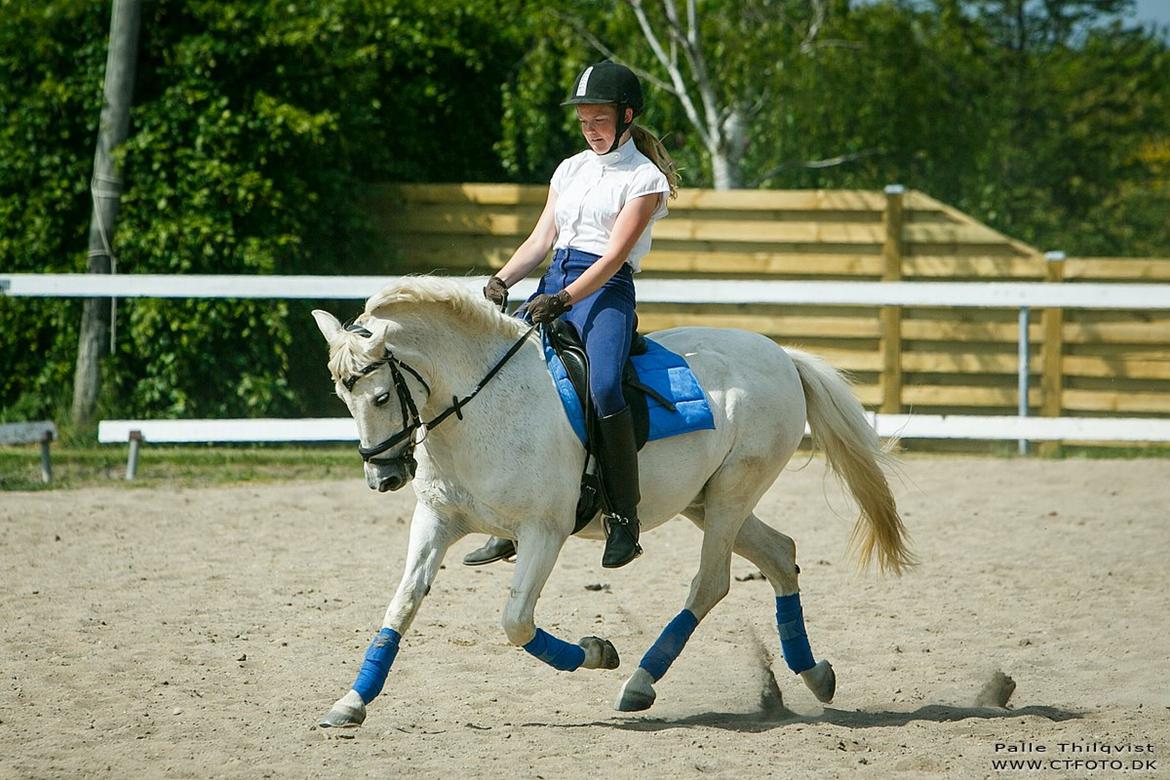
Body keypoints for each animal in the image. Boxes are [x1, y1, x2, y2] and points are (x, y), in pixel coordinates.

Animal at [311, 277, 912, 729]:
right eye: (342, 396)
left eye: (381, 397)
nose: (383, 477)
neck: (484, 406)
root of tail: (781, 355)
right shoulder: (435, 521)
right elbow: (402, 603)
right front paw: (351, 701)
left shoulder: (544, 533)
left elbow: (516, 622)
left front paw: (598, 652)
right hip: (706, 502)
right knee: (780, 555)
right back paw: (816, 675)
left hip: (731, 496)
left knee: (711, 583)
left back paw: (639, 683)